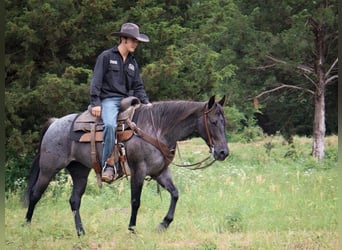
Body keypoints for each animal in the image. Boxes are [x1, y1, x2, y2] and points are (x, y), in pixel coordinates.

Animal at [24, 94, 230, 235]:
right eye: (213, 121)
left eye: (224, 122)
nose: (223, 152)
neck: (157, 129)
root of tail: (54, 123)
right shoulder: (139, 171)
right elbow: (135, 201)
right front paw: (132, 229)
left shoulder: (160, 172)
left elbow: (175, 194)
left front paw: (163, 223)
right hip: (48, 169)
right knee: (35, 194)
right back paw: (26, 224)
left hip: (80, 172)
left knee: (74, 200)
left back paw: (81, 232)